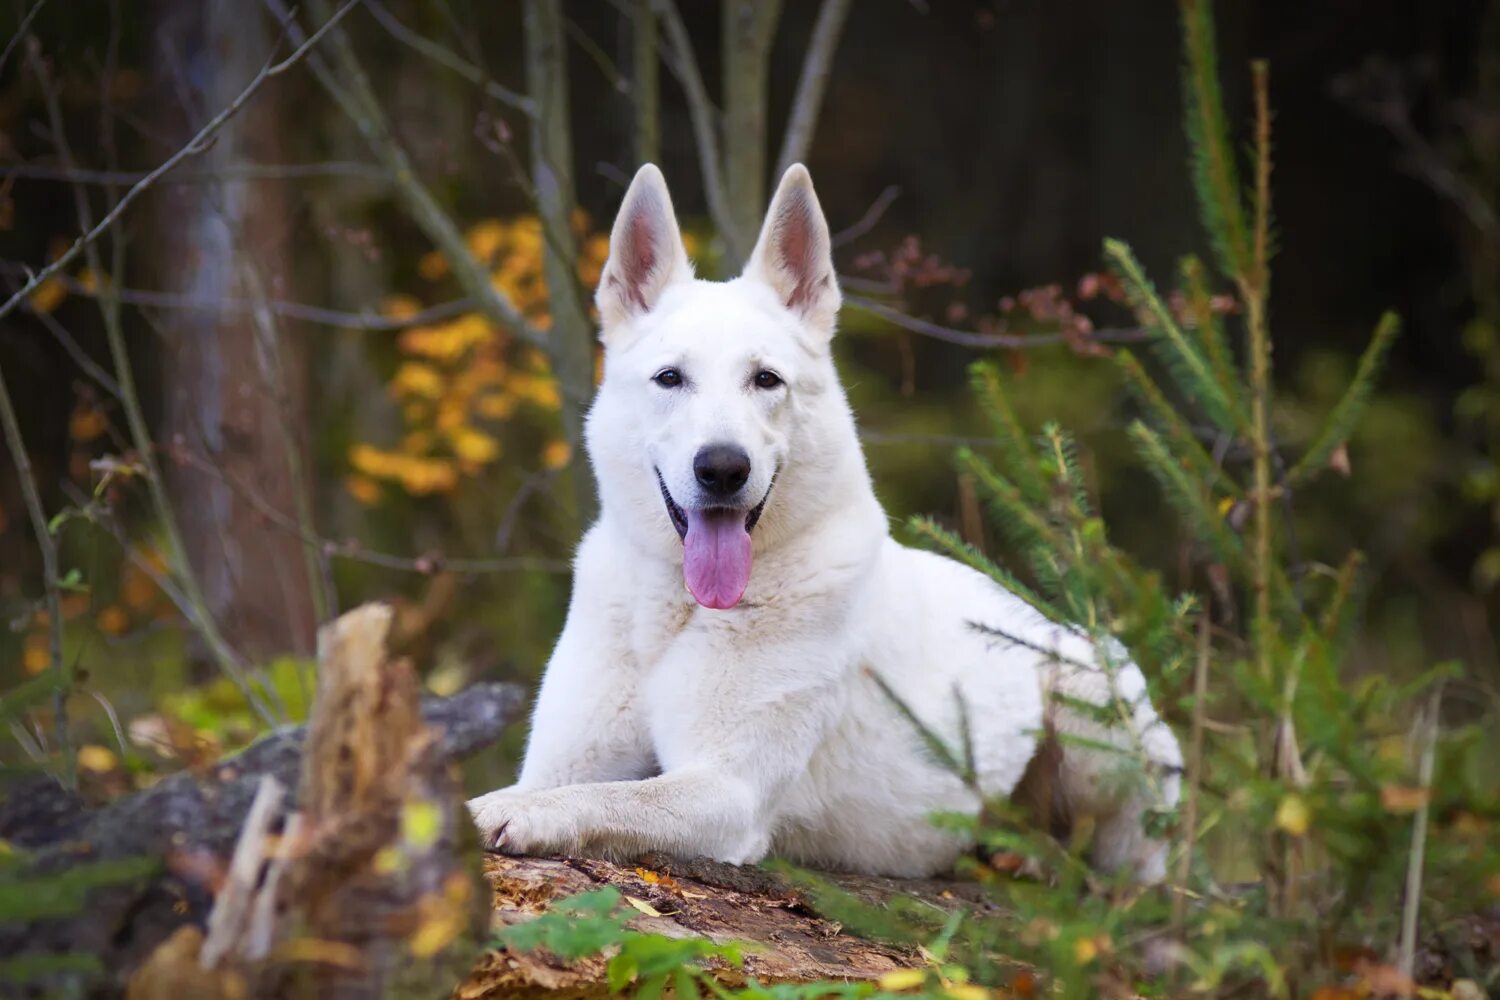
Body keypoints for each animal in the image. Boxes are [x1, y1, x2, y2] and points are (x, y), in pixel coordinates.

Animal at [471, 164, 1182, 881]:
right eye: (670, 378)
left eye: (766, 380)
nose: (723, 469)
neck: (673, 611)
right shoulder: (564, 759)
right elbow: (557, 785)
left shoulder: (727, 790)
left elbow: (603, 797)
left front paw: (510, 814)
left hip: (1096, 701)